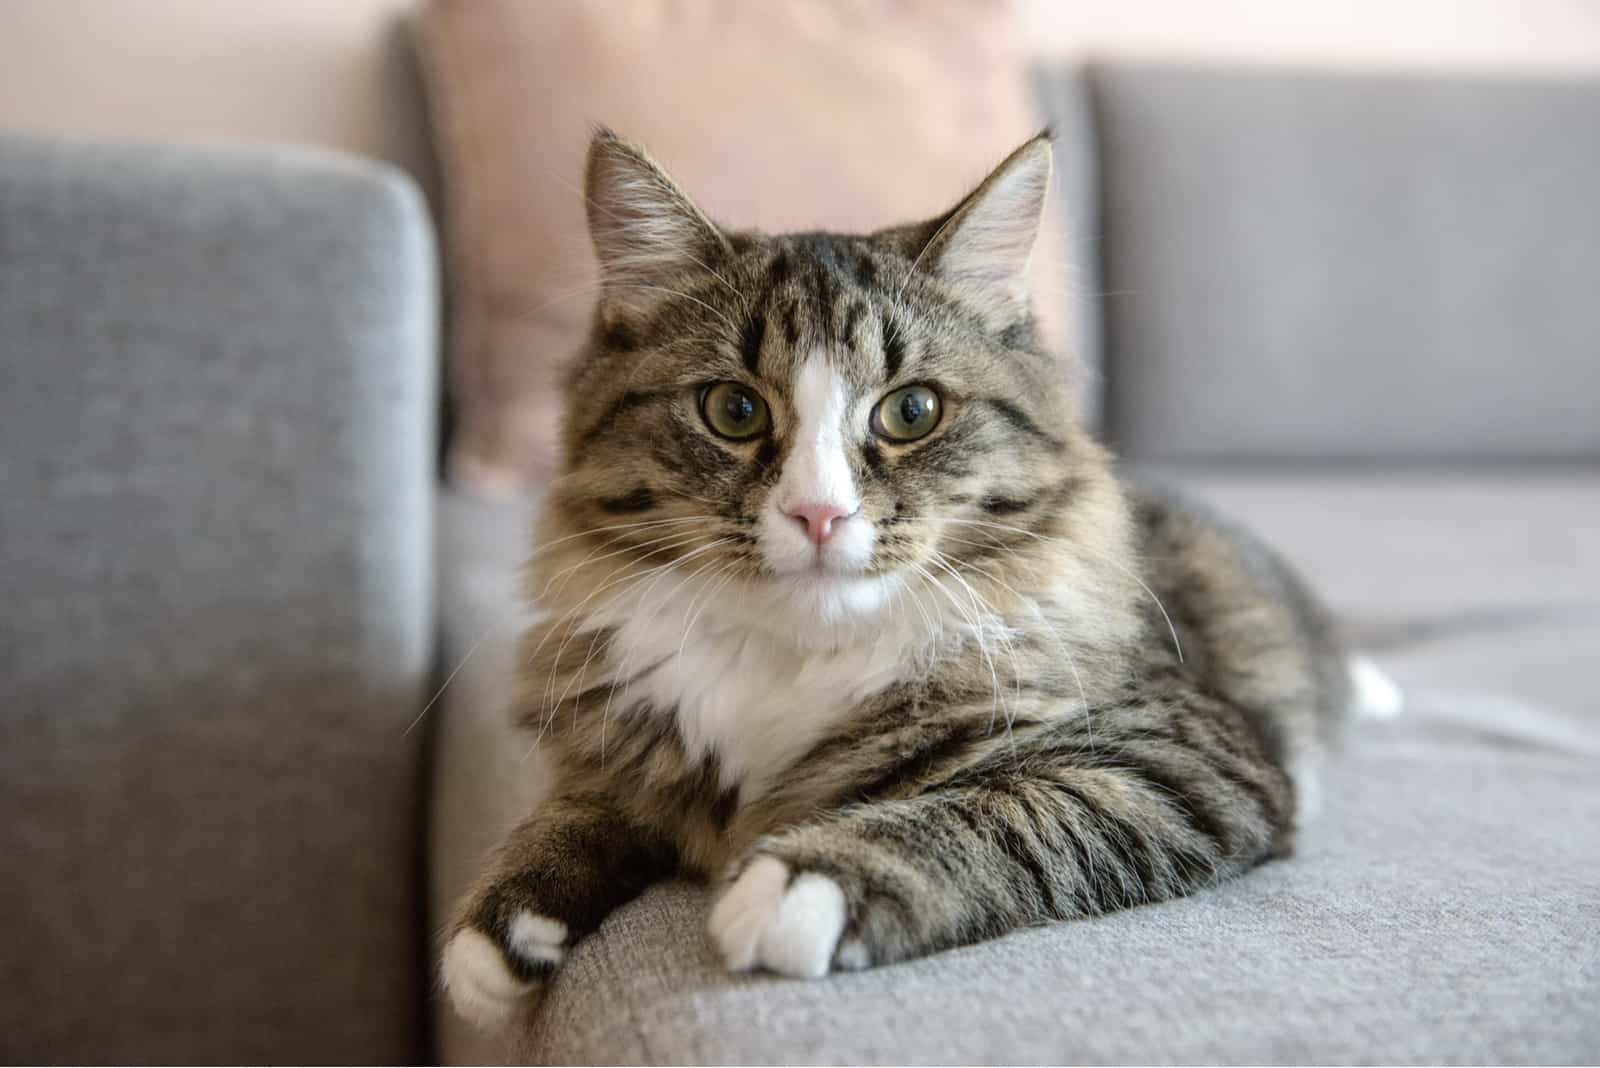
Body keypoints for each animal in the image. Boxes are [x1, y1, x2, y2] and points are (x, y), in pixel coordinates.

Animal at [438, 129, 1388, 1029]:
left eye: (912, 411)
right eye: (734, 411)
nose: (819, 514)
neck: (793, 662)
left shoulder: (1175, 756)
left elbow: (999, 812)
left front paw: (808, 881)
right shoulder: (626, 739)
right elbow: (579, 811)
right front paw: (501, 929)